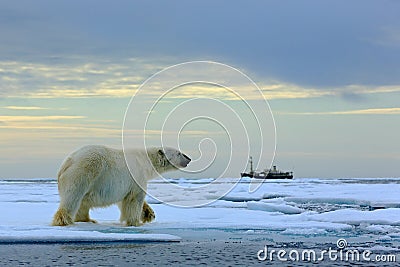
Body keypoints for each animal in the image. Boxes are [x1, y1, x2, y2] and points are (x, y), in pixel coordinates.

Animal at [51, 146, 191, 227]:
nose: (189, 158)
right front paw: (136, 222)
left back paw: (88, 220)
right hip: (84, 171)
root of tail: (67, 162)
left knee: (82, 202)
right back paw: (64, 220)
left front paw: (148, 214)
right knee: (73, 197)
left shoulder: (122, 185)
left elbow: (123, 199)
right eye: (179, 153)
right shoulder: (137, 175)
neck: (145, 160)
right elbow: (135, 199)